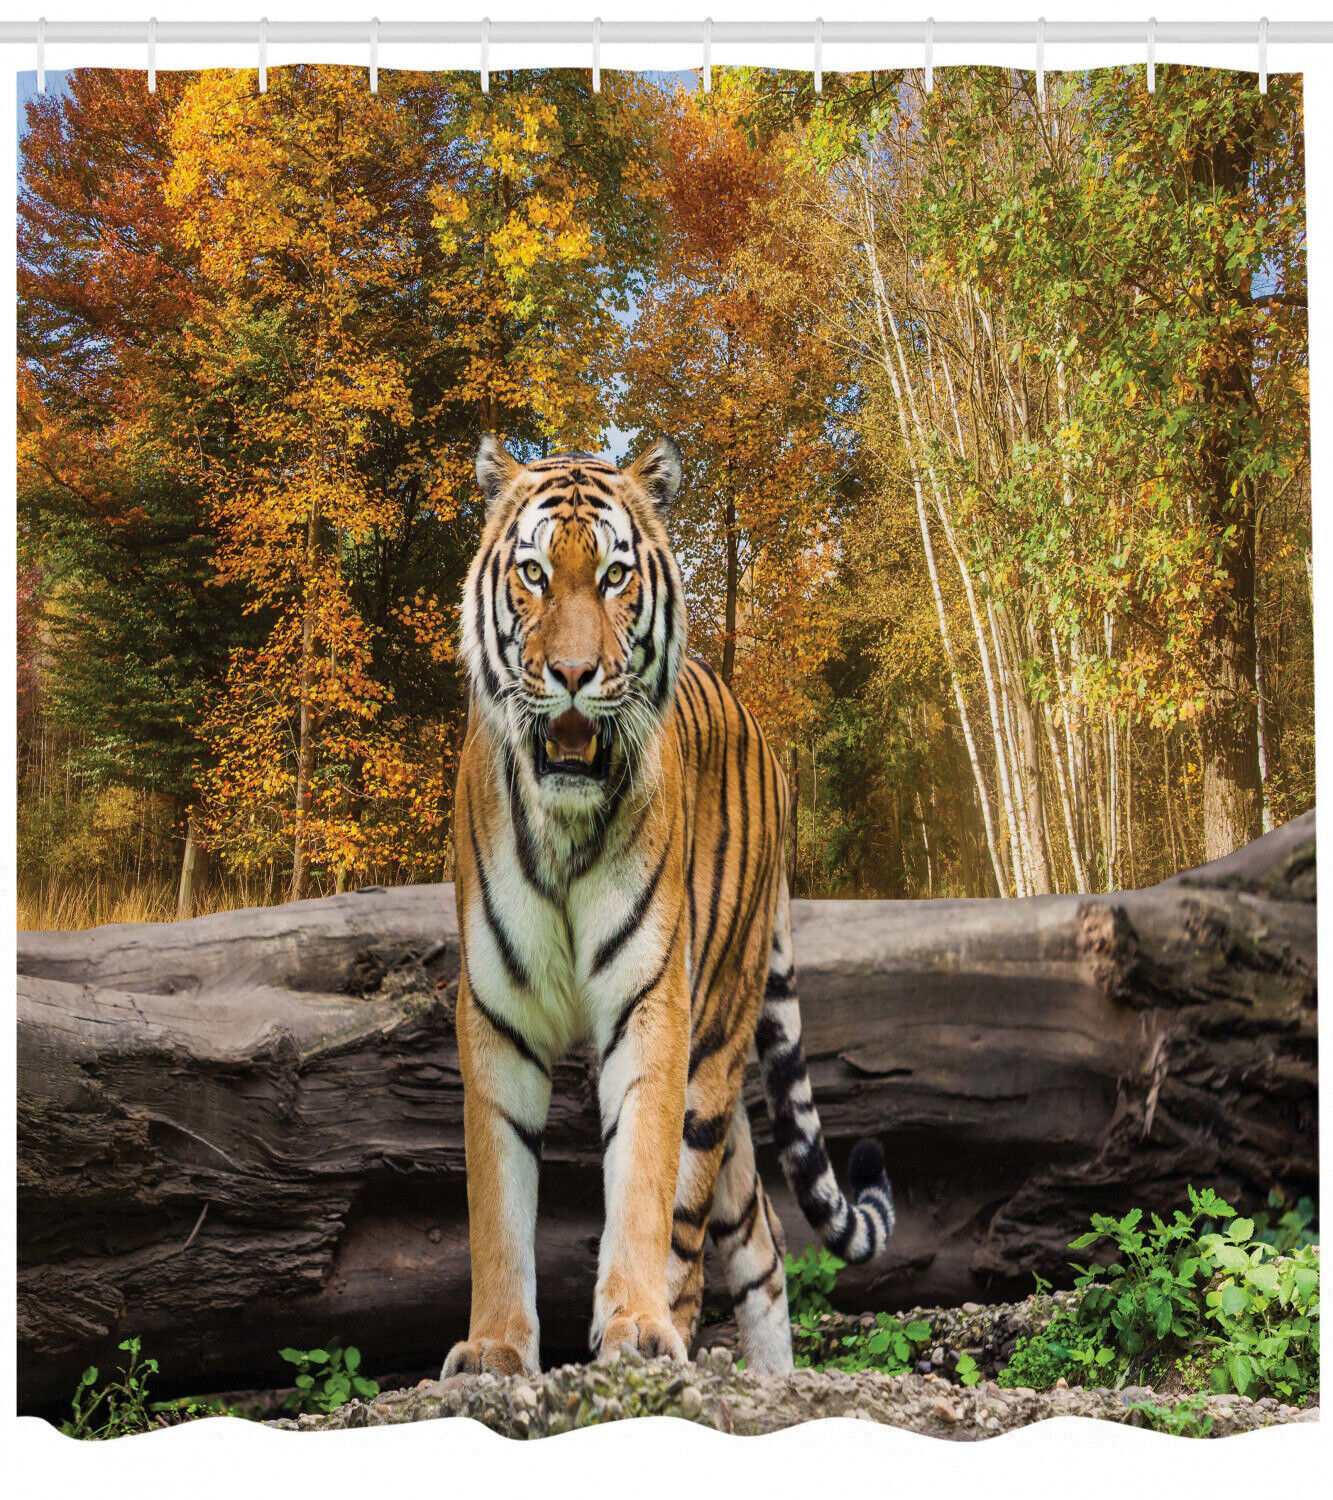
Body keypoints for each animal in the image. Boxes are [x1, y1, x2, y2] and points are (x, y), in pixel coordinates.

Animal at [443, 434, 896, 1379]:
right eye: (533, 573)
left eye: (615, 575)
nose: (572, 675)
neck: (567, 825)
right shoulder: (496, 1013)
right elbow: (496, 1200)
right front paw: (495, 1347)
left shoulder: (654, 1001)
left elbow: (643, 1184)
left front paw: (634, 1326)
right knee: (761, 1237)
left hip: (715, 1033)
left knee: (699, 1226)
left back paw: (678, 1341)